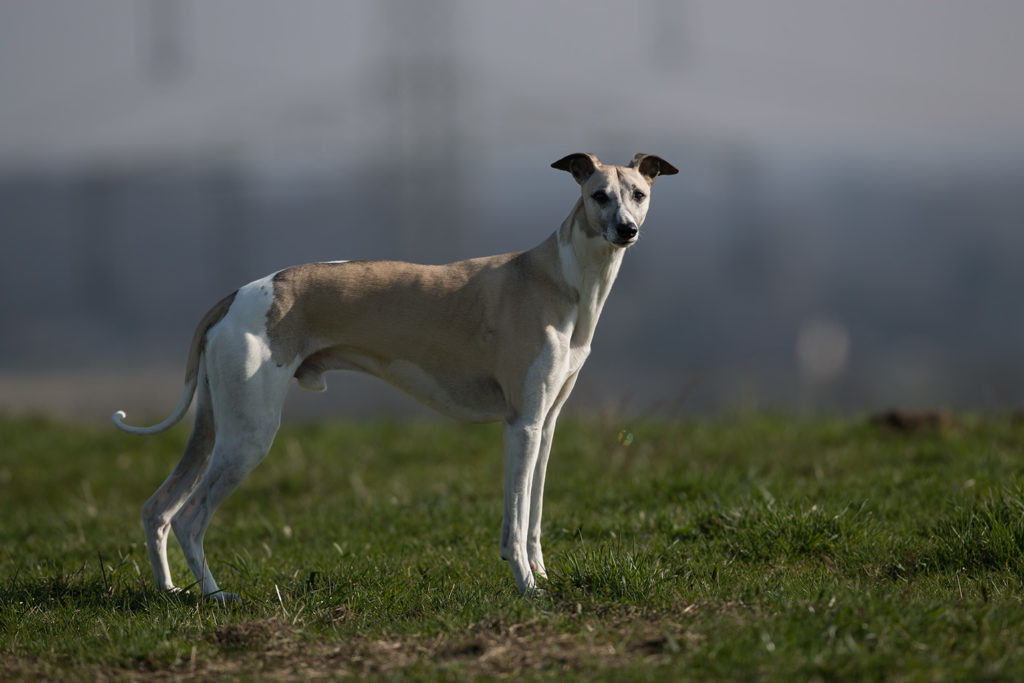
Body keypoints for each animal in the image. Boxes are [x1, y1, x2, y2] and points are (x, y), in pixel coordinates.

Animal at [112, 152, 675, 602]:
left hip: (214, 428)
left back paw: (170, 592)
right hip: (249, 435)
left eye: (639, 194)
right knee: (190, 517)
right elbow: (514, 524)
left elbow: (532, 516)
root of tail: (236, 296)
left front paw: (542, 576)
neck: (557, 279)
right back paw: (214, 596)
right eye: (599, 195)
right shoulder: (521, 424)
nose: (627, 229)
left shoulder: (546, 423)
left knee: (158, 510)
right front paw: (527, 588)